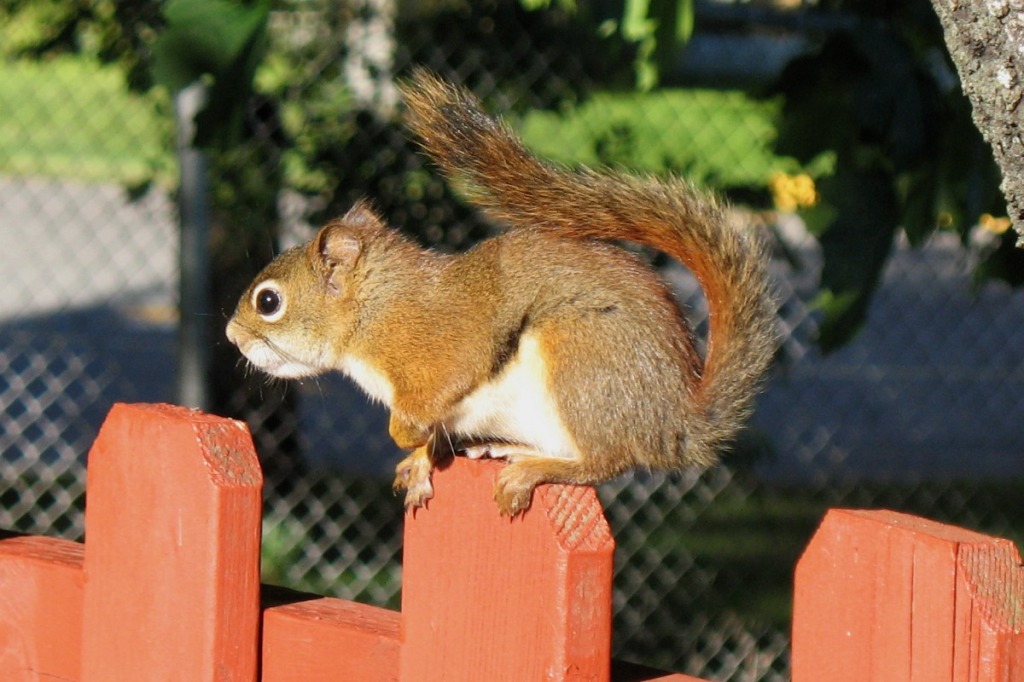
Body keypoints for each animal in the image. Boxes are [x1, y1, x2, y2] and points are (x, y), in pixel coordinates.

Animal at [228, 70, 774, 516]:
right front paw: (421, 461)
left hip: (582, 360)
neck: (375, 309)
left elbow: (436, 392)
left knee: (607, 459)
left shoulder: (437, 347)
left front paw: (405, 436)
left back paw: (535, 469)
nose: (232, 336)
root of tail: (677, 423)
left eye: (269, 302)